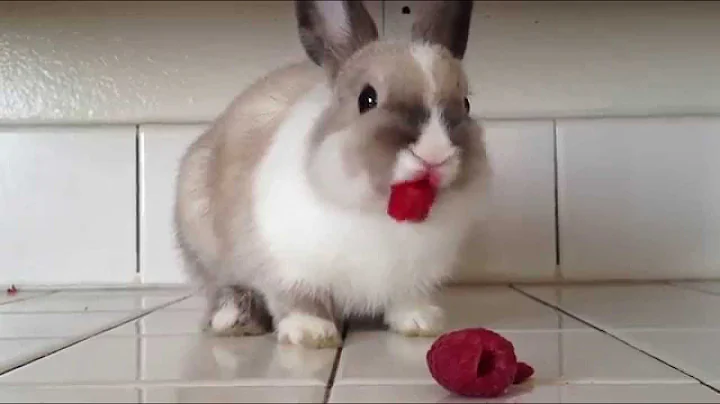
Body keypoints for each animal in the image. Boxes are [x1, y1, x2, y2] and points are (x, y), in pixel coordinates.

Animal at [174, 0, 489, 349]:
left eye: (466, 103)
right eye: (367, 99)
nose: (435, 153)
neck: (379, 212)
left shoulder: (414, 277)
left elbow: (407, 300)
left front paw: (420, 322)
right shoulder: (288, 266)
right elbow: (300, 299)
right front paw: (312, 332)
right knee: (223, 288)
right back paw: (234, 319)